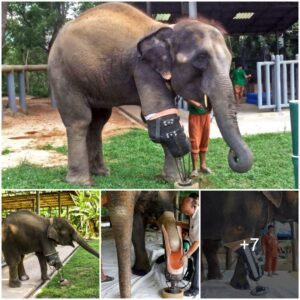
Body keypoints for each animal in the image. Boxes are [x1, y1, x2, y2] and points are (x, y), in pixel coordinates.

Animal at [48, 2, 253, 185]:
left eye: (230, 60)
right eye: (201, 58)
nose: (233, 155)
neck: (169, 30)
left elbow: (165, 117)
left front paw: (172, 179)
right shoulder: (144, 69)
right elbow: (161, 116)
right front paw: (178, 176)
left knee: (98, 122)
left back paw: (102, 173)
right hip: (64, 76)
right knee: (80, 121)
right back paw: (81, 182)